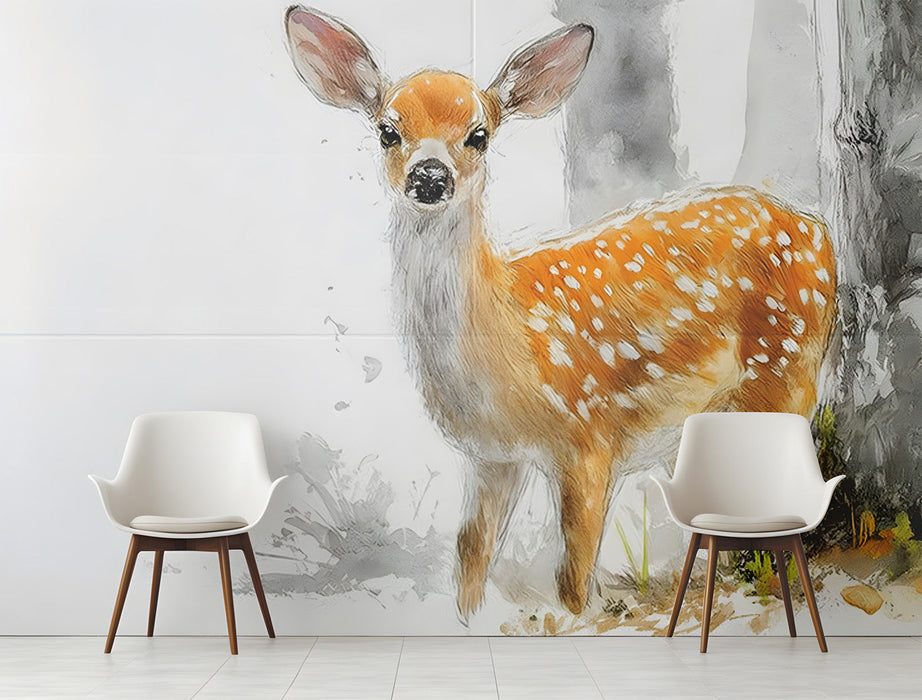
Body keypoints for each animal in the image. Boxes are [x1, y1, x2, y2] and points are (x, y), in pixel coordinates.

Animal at [284, 6, 837, 620]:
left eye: (479, 135)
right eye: (388, 130)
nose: (430, 176)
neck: (507, 341)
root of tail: (818, 227)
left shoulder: (589, 435)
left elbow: (572, 581)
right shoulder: (491, 458)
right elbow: (470, 557)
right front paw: (468, 618)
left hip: (786, 366)